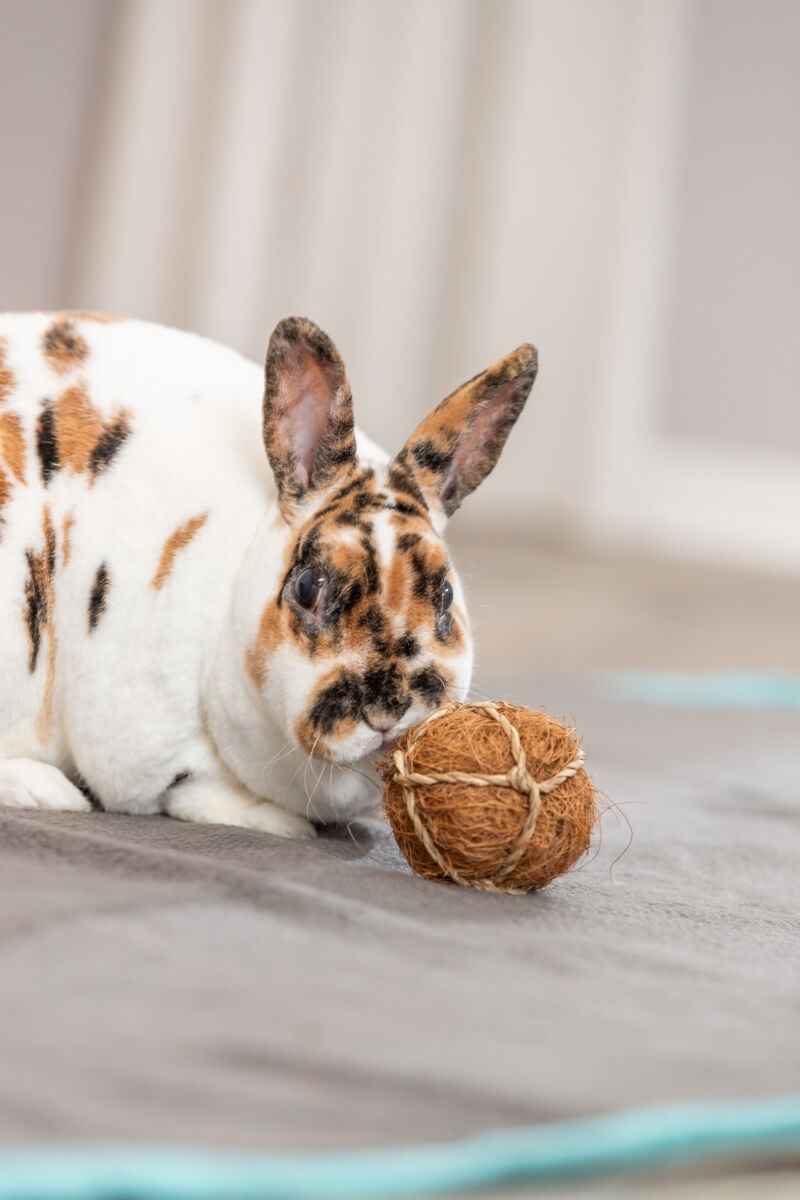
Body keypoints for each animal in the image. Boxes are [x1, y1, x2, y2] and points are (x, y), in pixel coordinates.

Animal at [1, 309, 537, 835]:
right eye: (307, 586)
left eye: (445, 594)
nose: (388, 713)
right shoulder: (139, 747)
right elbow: (194, 791)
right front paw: (283, 825)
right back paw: (48, 791)